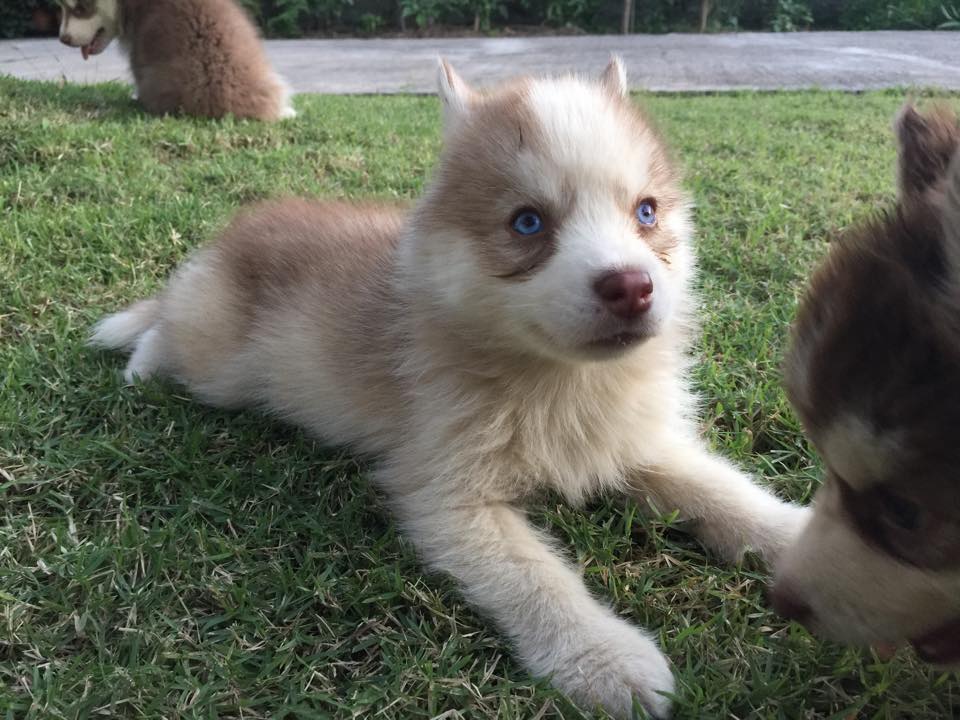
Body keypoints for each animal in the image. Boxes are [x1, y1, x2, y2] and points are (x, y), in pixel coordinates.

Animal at [90, 59, 808, 718]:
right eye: (527, 224)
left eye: (647, 212)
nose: (632, 287)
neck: (560, 379)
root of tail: (233, 235)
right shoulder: (447, 497)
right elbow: (534, 578)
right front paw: (602, 655)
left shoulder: (639, 442)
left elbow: (721, 491)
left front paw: (801, 538)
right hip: (218, 363)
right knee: (169, 327)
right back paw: (141, 364)